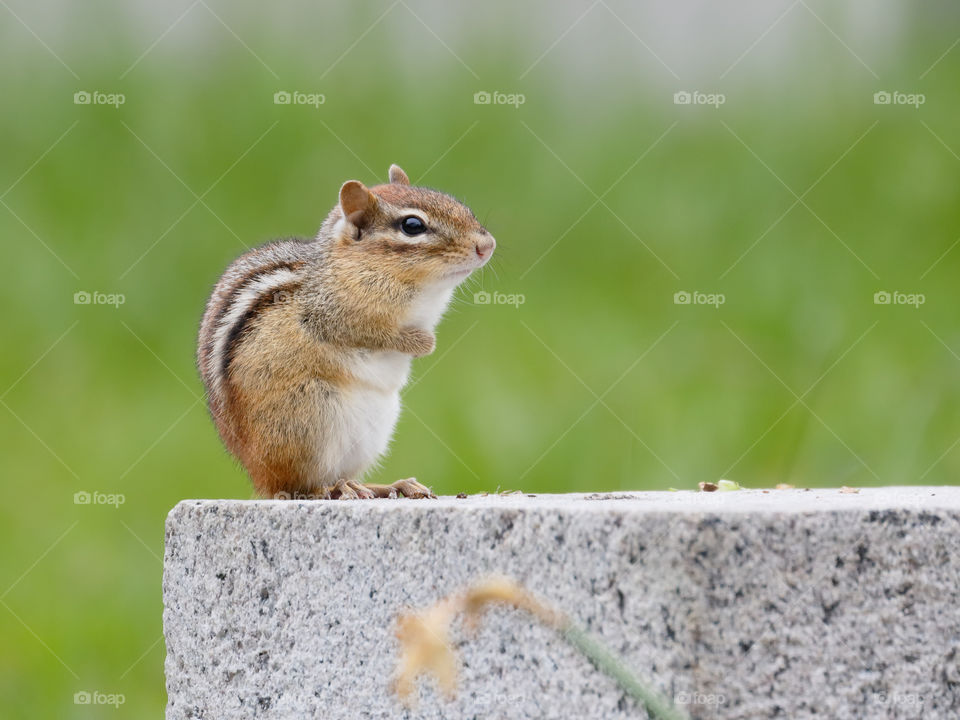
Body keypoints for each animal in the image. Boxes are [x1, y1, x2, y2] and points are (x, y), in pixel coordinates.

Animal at [197, 164, 495, 500]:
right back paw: (334, 488)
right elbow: (373, 334)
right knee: (298, 487)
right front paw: (421, 343)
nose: (487, 246)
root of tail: (260, 479)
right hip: (311, 418)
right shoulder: (333, 316)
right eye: (412, 225)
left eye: (461, 207)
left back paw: (388, 485)